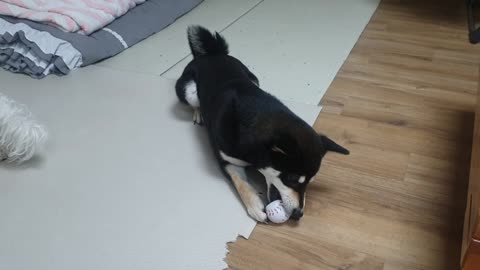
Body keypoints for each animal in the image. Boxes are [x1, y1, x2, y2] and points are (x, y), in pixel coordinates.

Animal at [176, 25, 348, 221]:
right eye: (291, 178)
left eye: (309, 182)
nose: (298, 214)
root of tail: (212, 53)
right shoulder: (227, 160)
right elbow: (240, 182)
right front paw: (253, 205)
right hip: (188, 90)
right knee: (194, 102)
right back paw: (198, 113)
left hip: (254, 78)